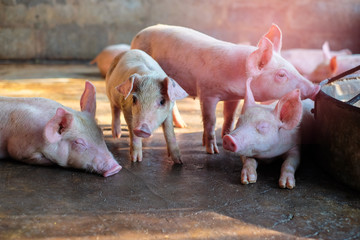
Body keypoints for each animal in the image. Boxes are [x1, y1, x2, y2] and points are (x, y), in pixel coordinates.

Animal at [131, 23, 320, 154]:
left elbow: (229, 116)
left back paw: (183, 126)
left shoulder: (234, 96)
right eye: (281, 75)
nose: (315, 88)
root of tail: (138, 35)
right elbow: (211, 119)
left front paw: (225, 137)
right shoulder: (207, 92)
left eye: (292, 67)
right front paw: (213, 151)